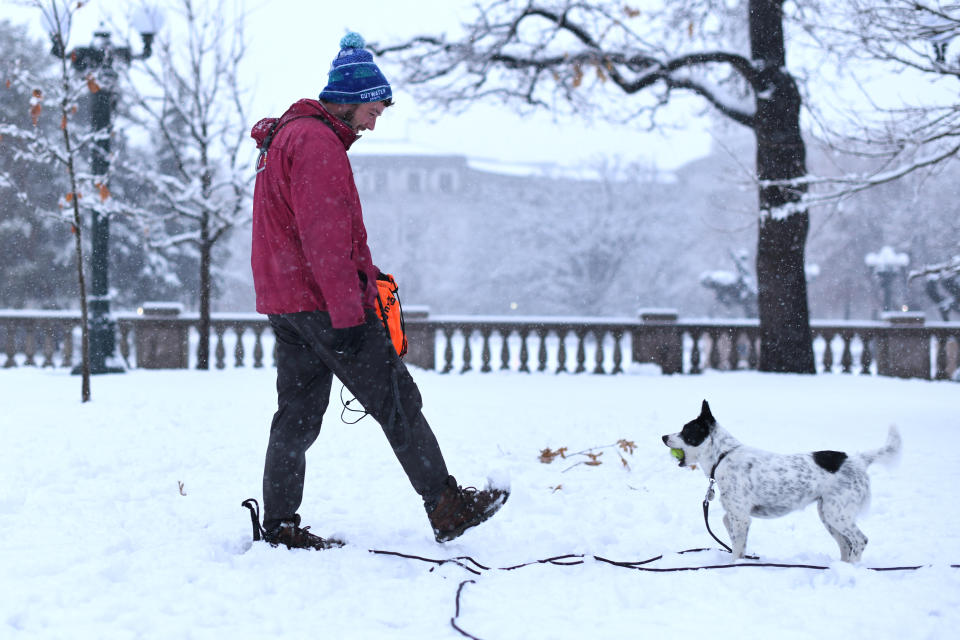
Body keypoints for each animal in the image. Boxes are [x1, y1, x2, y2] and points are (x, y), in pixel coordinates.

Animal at [660, 402, 900, 564]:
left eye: (686, 431)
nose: (663, 436)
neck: (723, 456)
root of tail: (858, 459)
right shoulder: (735, 516)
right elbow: (736, 540)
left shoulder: (740, 516)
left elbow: (736, 548)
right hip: (827, 514)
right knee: (845, 545)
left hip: (837, 513)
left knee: (860, 541)